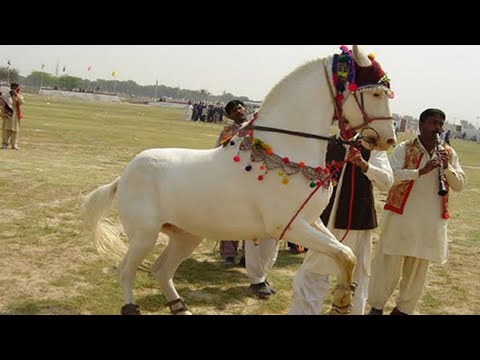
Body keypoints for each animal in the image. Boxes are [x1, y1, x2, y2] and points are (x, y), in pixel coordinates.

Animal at [81, 45, 398, 316]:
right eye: (376, 94)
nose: (389, 140)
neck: (285, 150)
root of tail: (122, 176)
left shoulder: (310, 221)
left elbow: (347, 255)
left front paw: (343, 298)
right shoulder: (289, 226)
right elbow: (344, 254)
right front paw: (342, 300)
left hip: (186, 235)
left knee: (161, 269)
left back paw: (180, 306)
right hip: (144, 235)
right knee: (126, 269)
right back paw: (131, 307)